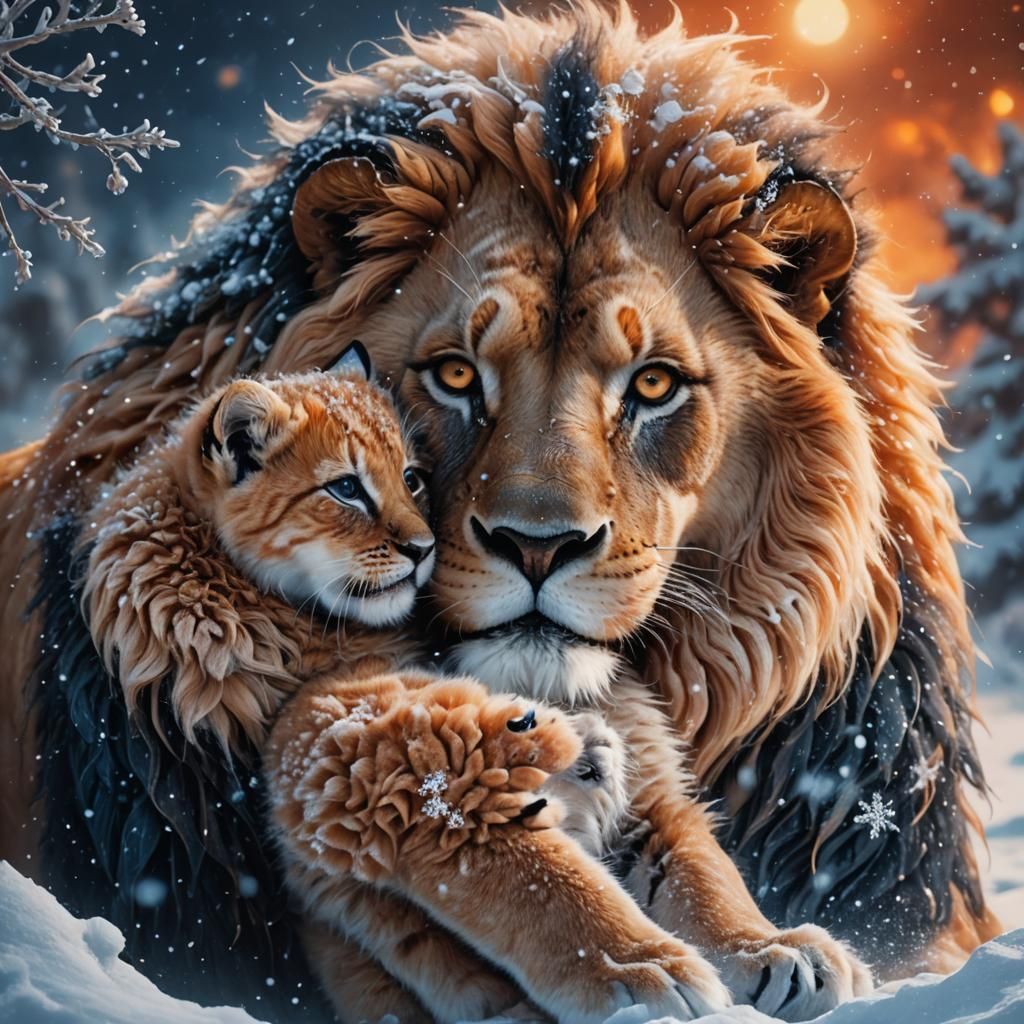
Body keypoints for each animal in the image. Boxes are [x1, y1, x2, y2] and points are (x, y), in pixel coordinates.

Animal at [0, 1, 1000, 1019]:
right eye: (453, 375)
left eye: (653, 384)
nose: (537, 546)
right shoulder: (349, 766)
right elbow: (525, 871)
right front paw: (642, 973)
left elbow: (698, 868)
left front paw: (771, 947)